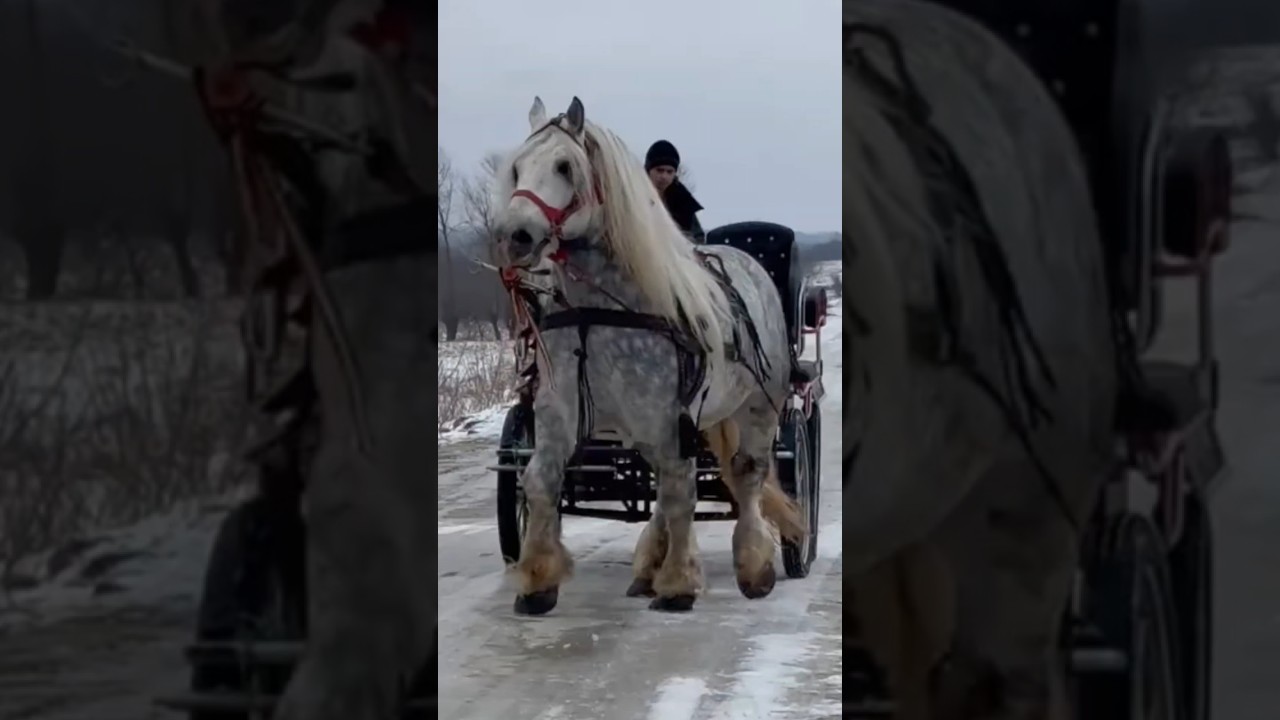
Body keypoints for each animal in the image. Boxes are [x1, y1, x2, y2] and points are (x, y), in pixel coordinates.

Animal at [494, 96, 806, 615]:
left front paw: (678, 583)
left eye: (564, 166)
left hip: (758, 405)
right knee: (662, 479)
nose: (514, 235)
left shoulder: (665, 411)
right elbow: (539, 479)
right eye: (517, 167)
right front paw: (537, 581)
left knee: (746, 474)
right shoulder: (562, 408)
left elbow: (681, 492)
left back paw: (753, 566)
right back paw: (647, 568)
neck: (601, 306)